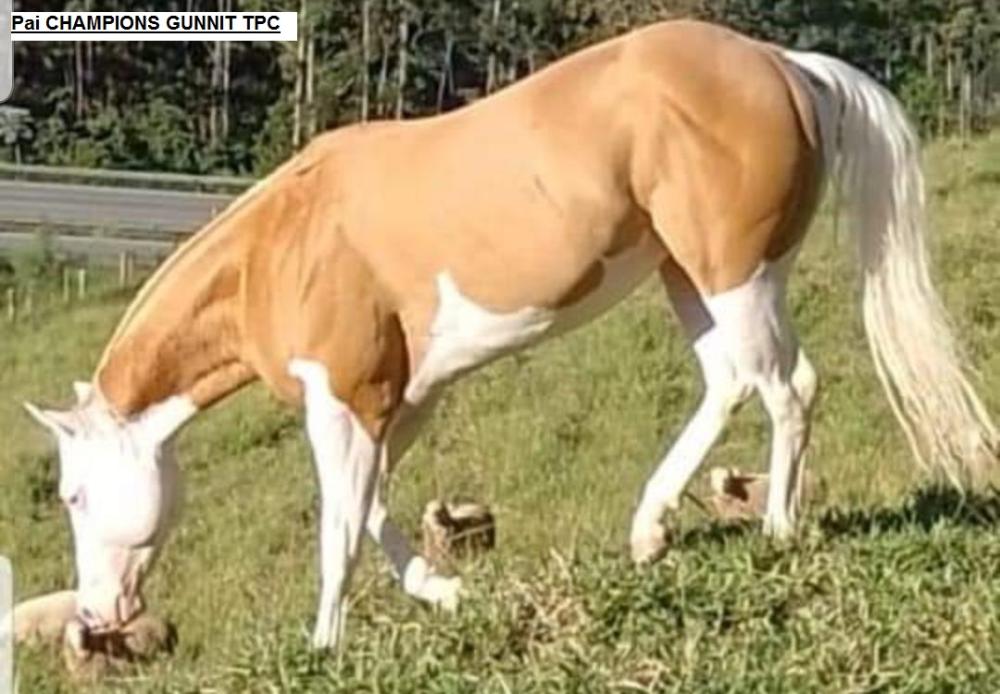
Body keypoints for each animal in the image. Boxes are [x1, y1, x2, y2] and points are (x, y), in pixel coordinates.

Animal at [24, 19, 997, 650]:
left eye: (74, 495)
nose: (96, 616)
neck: (285, 244)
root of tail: (785, 65)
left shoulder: (342, 400)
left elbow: (339, 525)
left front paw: (324, 647)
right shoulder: (402, 399)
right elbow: (373, 509)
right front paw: (445, 592)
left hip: (734, 273)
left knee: (787, 386)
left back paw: (779, 531)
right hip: (689, 278)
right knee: (732, 381)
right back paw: (649, 533)